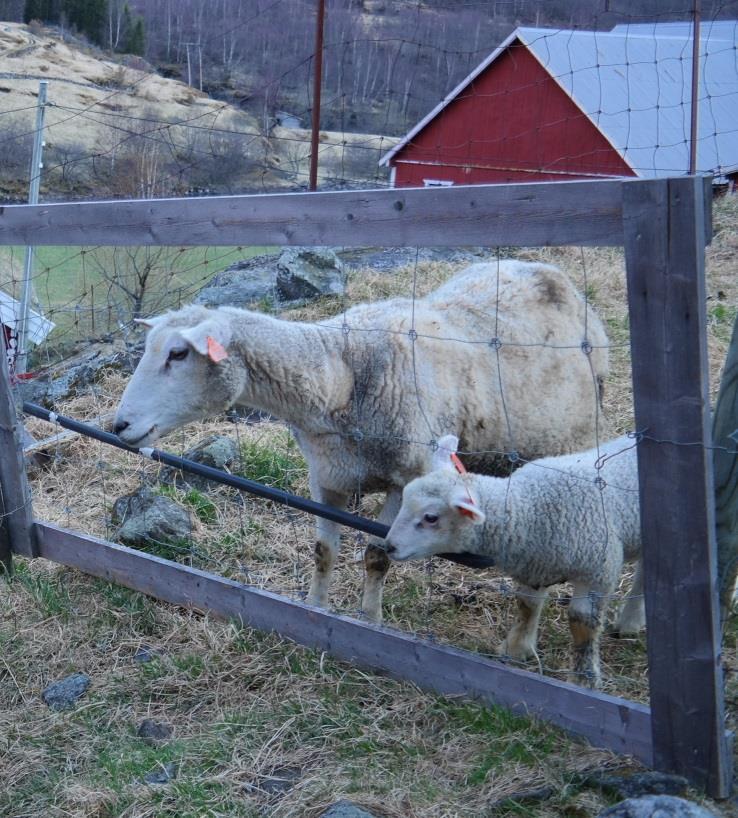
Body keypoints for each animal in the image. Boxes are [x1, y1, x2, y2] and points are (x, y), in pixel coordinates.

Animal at [115, 258, 608, 620]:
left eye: (179, 353)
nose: (119, 426)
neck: (341, 372)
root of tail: (550, 270)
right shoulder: (324, 475)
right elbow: (323, 552)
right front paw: (317, 608)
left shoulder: (406, 480)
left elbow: (377, 554)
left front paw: (369, 619)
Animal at [382, 430, 640, 684]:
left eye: (431, 518)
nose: (389, 546)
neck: (528, 507)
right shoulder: (534, 567)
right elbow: (527, 606)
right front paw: (517, 650)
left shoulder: (599, 571)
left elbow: (582, 625)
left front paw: (584, 679)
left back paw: (629, 623)